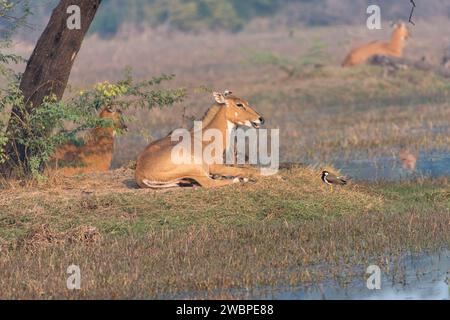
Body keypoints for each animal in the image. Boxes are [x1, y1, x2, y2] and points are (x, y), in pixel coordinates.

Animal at [135, 91, 266, 189]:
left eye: (247, 103)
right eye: (239, 104)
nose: (260, 119)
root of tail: (140, 173)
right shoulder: (215, 166)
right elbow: (246, 170)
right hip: (195, 167)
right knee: (209, 183)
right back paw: (237, 180)